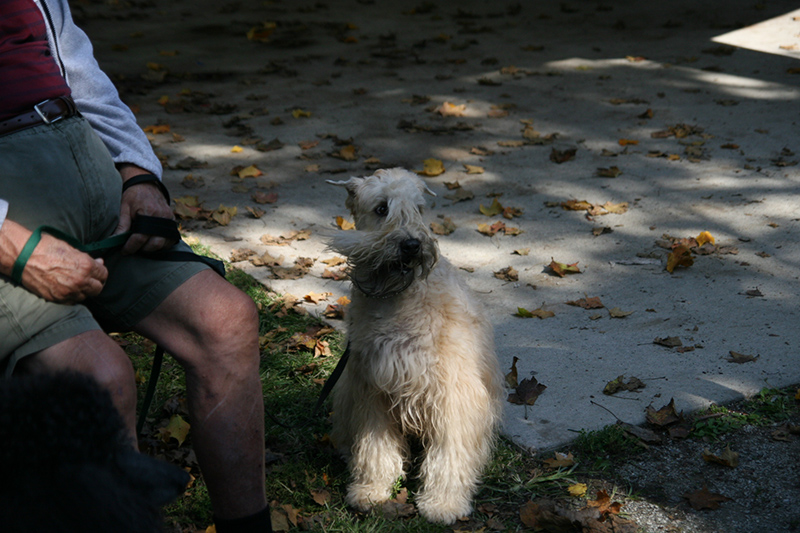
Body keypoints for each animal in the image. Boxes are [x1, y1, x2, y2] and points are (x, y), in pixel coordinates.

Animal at [324, 168, 500, 520]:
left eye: (419, 208)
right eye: (381, 208)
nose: (412, 245)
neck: (396, 299)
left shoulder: (453, 393)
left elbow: (450, 453)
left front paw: (444, 503)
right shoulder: (372, 386)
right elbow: (375, 445)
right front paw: (372, 489)